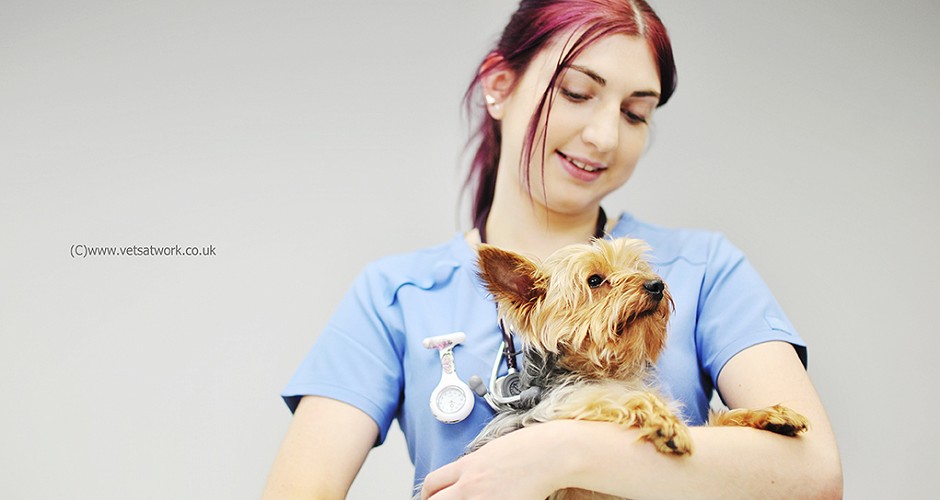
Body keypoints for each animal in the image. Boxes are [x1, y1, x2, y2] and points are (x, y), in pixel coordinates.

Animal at [470, 237, 808, 500]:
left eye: (637, 268)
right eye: (595, 280)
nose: (656, 284)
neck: (608, 370)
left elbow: (722, 420)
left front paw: (770, 415)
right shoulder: (551, 411)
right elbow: (610, 399)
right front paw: (664, 422)